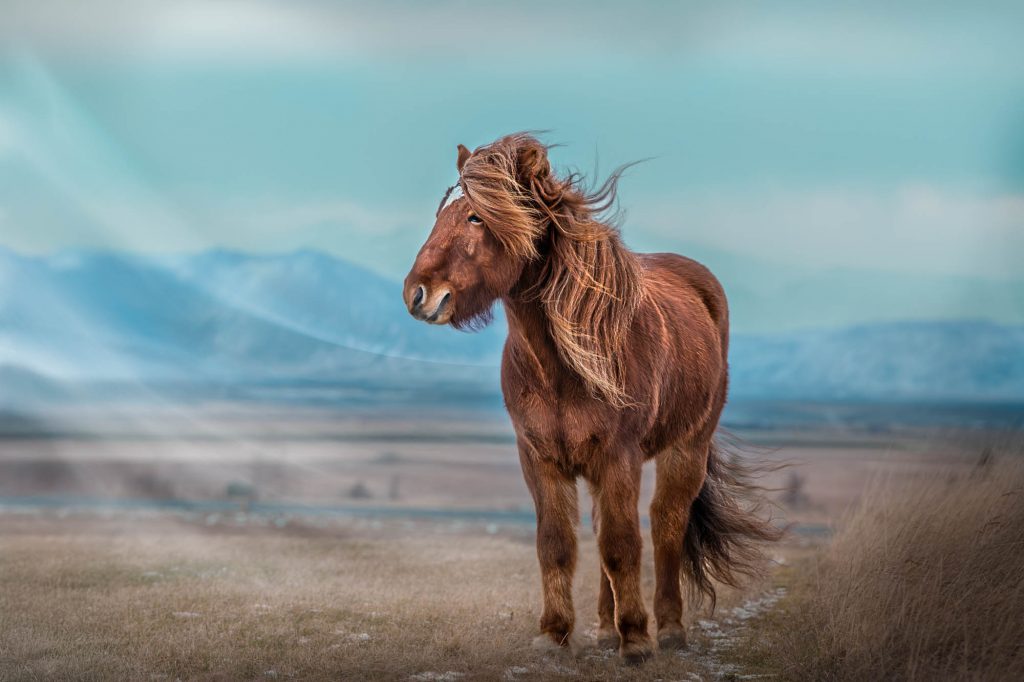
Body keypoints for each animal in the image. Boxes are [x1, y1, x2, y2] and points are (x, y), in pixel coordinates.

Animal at [403, 131, 778, 659]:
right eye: (442, 213)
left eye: (477, 216)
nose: (418, 294)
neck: (561, 367)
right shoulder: (539, 457)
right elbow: (557, 544)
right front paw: (555, 634)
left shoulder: (619, 455)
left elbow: (622, 545)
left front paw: (636, 640)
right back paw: (604, 628)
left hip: (687, 447)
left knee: (666, 524)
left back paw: (669, 629)